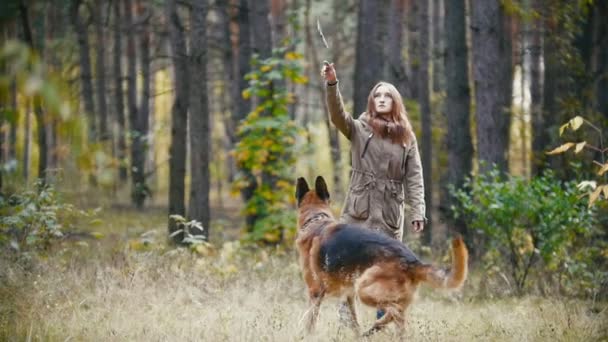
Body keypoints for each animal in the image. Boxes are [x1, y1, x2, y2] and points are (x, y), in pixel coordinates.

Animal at [296, 176, 468, 336]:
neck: (316, 219)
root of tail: (412, 261)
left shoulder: (315, 292)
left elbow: (309, 322)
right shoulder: (348, 295)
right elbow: (354, 322)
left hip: (363, 289)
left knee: (394, 311)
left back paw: (377, 325)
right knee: (399, 320)